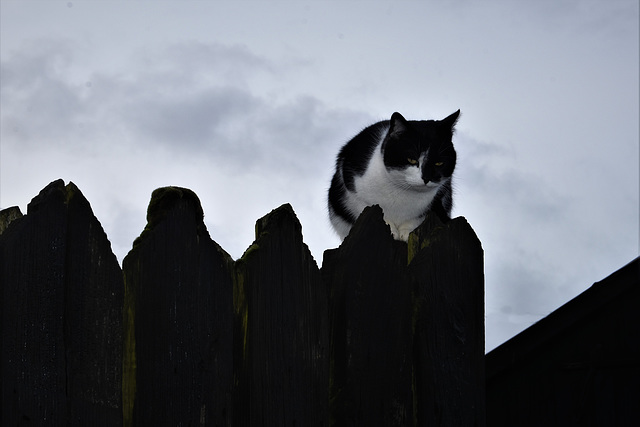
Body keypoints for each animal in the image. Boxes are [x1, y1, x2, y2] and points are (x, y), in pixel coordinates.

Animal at [330, 110, 460, 242]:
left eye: (439, 163)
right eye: (412, 160)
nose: (426, 177)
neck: (402, 192)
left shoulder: (439, 196)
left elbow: (418, 217)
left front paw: (407, 232)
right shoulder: (351, 189)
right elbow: (364, 207)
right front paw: (391, 229)